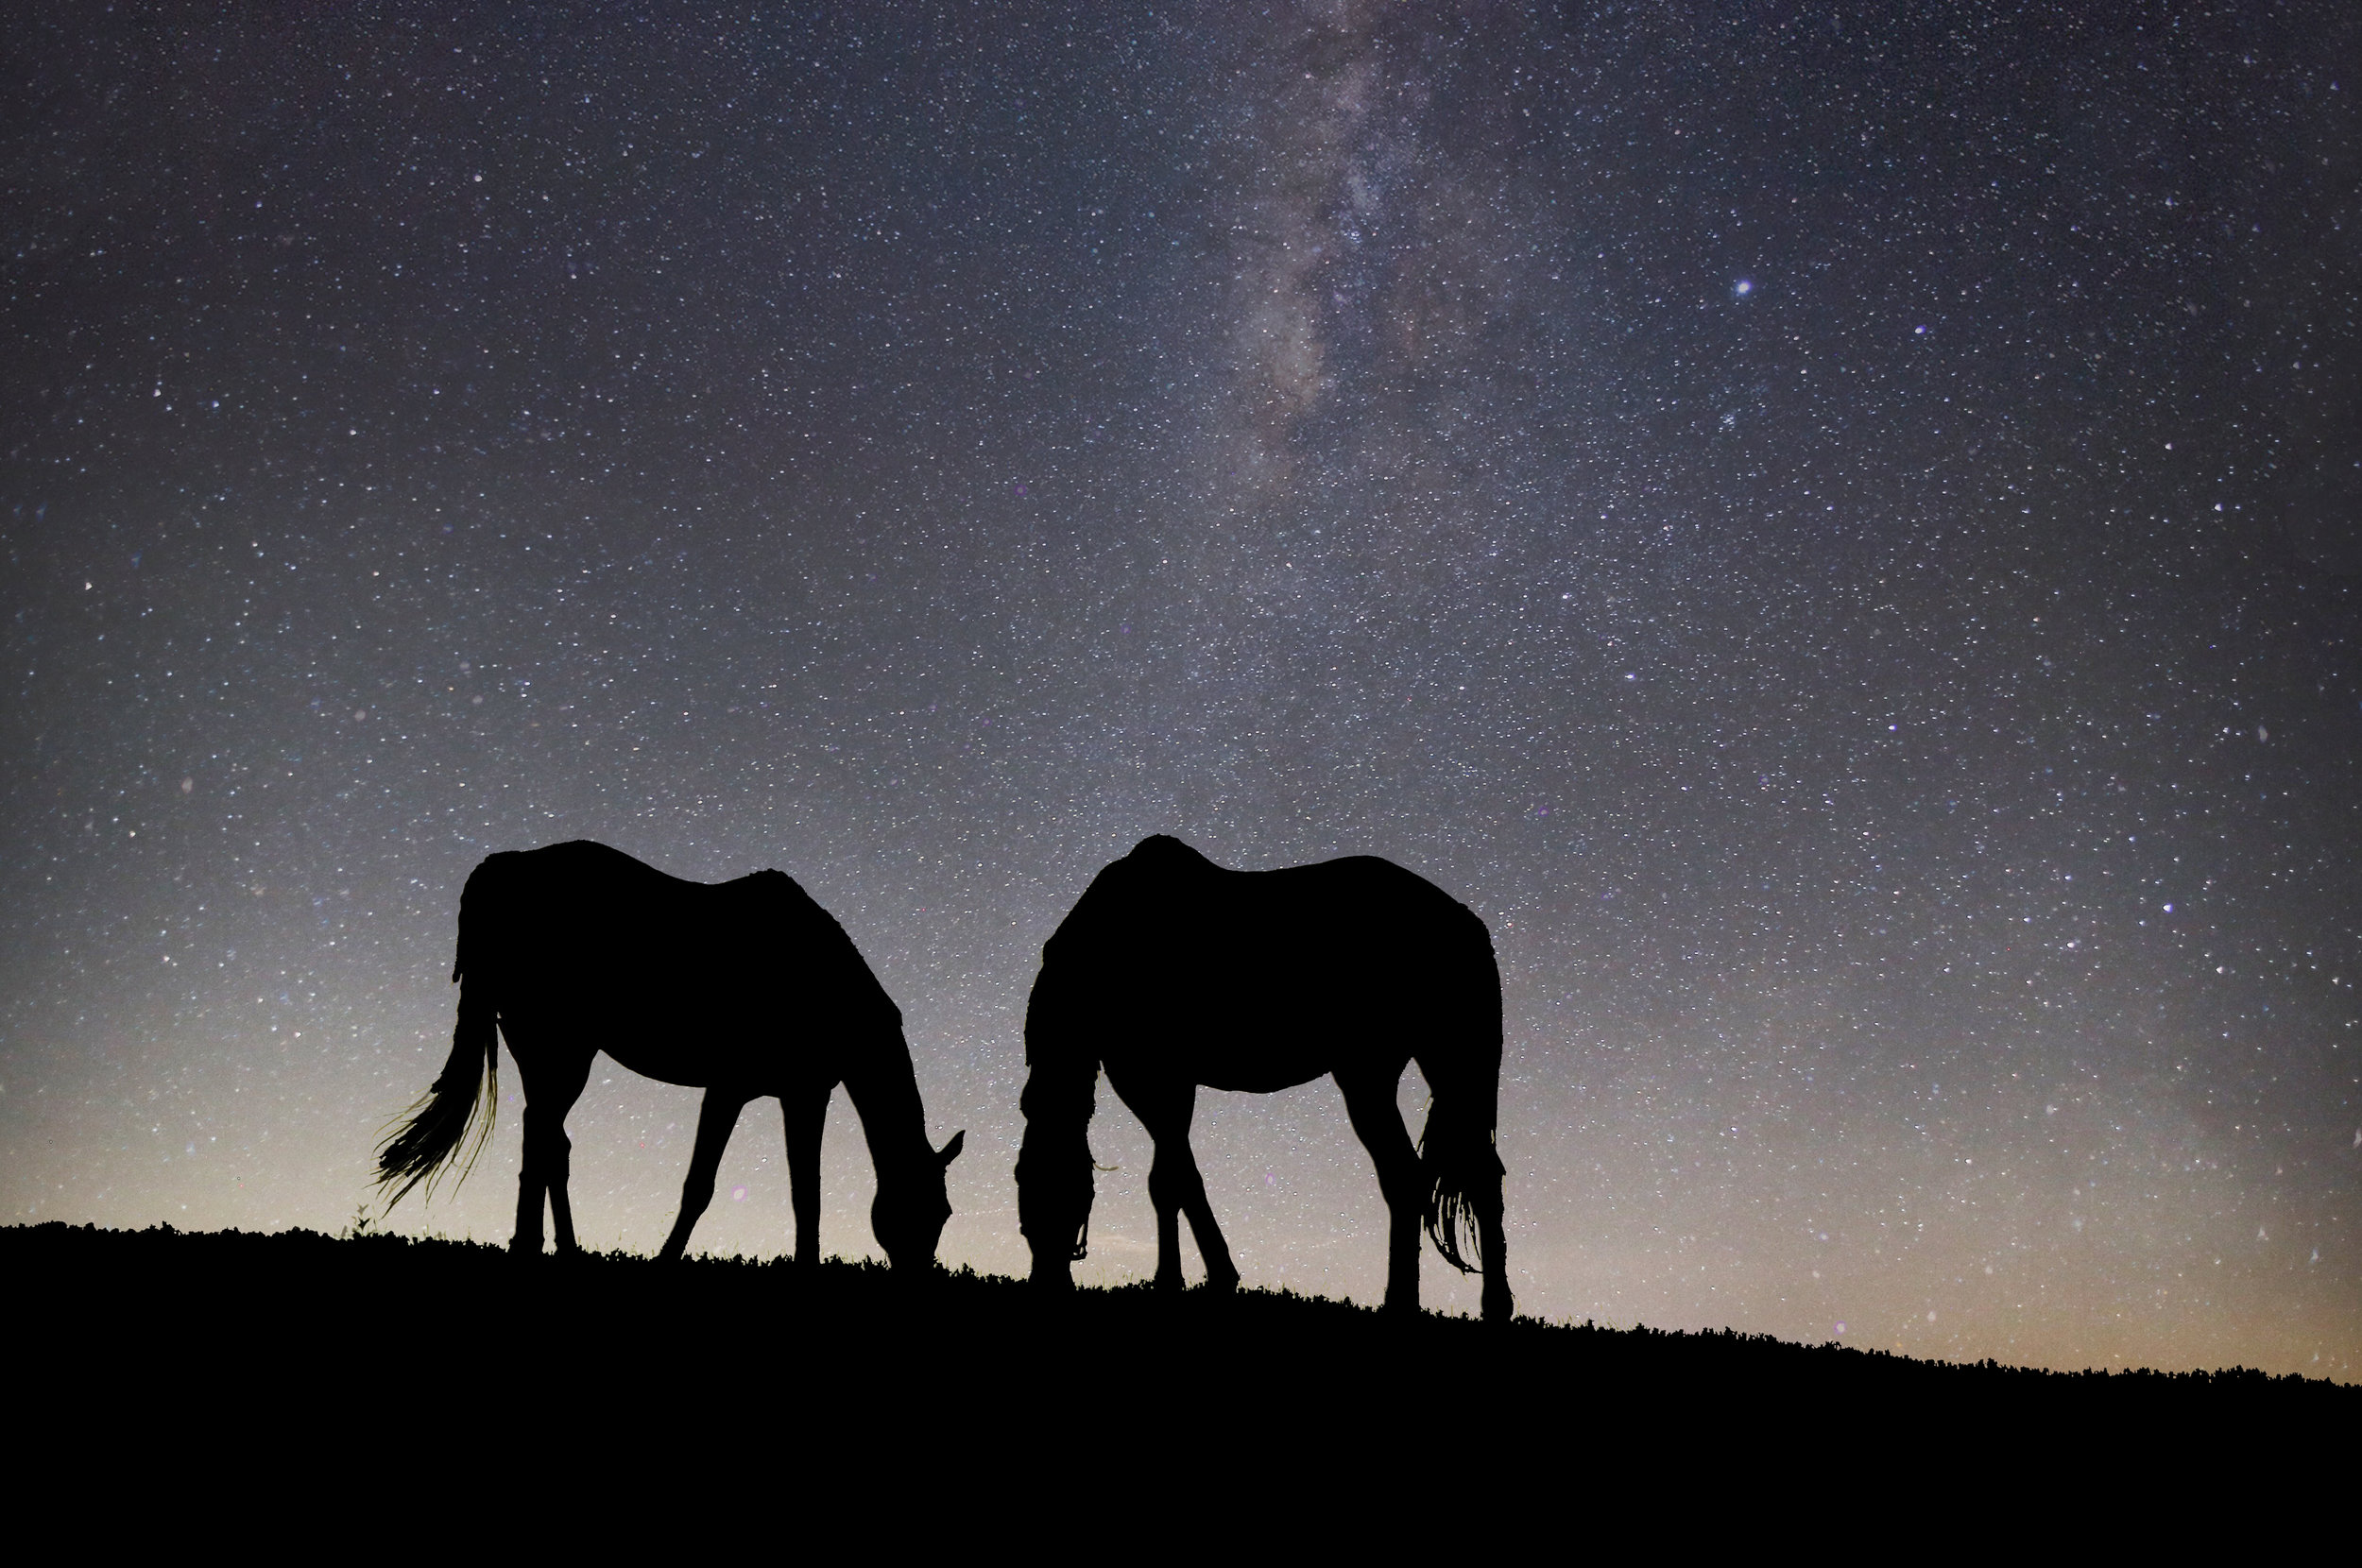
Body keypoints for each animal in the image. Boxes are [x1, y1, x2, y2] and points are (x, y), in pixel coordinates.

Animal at [370, 841, 959, 1266]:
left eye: (945, 1215)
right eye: (920, 1210)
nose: (917, 1277)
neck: (823, 981)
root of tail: (502, 870)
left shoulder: (804, 1094)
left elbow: (806, 1194)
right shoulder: (730, 1088)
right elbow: (700, 1186)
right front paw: (666, 1259)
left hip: (549, 1052)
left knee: (550, 1142)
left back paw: (561, 1248)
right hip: (557, 1048)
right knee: (543, 1139)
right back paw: (533, 1247)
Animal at [1016, 841, 1512, 1313]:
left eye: (1065, 1195)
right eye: (1025, 1190)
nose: (1046, 1286)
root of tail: (1464, 922)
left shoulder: (1155, 1080)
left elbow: (1175, 1179)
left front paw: (1203, 1277)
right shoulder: (1159, 1086)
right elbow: (1170, 1181)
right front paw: (1181, 1279)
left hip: (1387, 1073)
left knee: (1420, 1176)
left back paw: (1425, 1303)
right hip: (1418, 1070)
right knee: (1463, 1173)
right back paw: (1460, 1303)